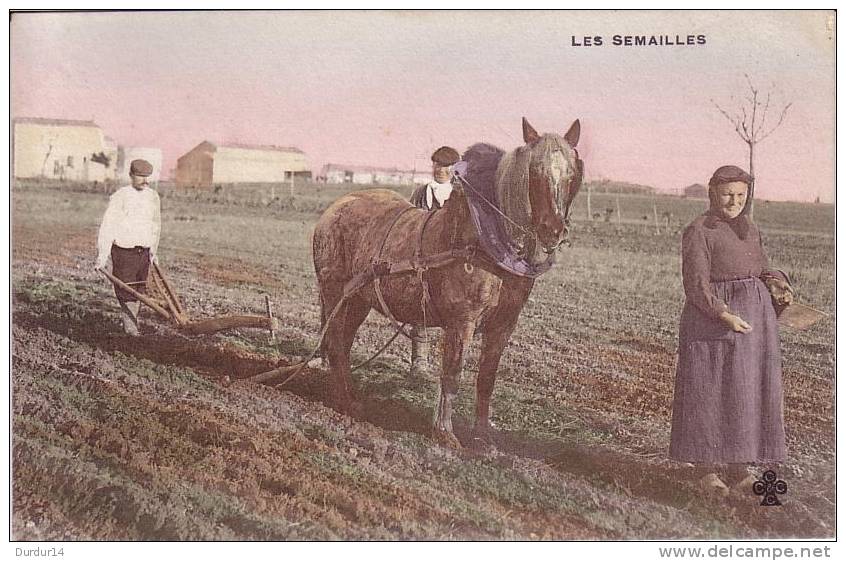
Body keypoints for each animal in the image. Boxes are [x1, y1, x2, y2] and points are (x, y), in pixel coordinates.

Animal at [312, 117, 584, 446]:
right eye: (534, 171)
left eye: (572, 173)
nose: (553, 230)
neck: (489, 242)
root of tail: (334, 209)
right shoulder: (461, 321)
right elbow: (452, 374)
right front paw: (444, 433)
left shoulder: (504, 325)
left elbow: (486, 378)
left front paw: (483, 436)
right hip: (333, 294)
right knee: (334, 343)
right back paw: (343, 400)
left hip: (358, 299)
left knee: (344, 343)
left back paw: (352, 396)